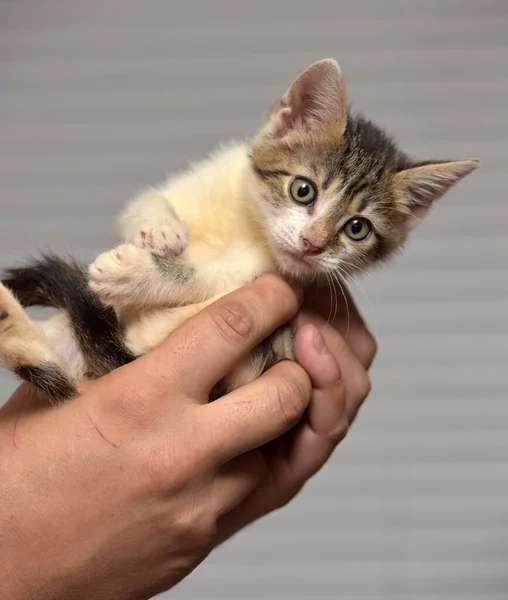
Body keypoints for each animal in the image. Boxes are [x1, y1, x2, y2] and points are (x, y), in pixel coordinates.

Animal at [0, 58, 476, 404]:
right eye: (303, 190)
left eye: (356, 228)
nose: (312, 243)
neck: (247, 223)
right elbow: (148, 201)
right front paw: (161, 231)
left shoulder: (265, 274)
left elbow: (212, 277)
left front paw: (135, 274)